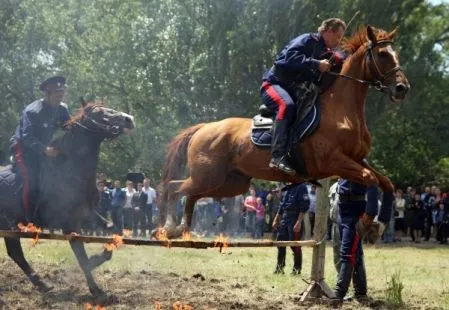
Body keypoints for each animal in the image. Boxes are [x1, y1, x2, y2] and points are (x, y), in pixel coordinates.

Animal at [0, 100, 133, 304]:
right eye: (99, 112)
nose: (128, 119)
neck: (70, 169)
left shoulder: (87, 215)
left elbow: (113, 231)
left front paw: (99, 258)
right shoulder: (69, 225)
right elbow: (82, 258)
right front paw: (97, 290)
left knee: (15, 254)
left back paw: (43, 285)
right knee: (16, 253)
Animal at [158, 26, 410, 237]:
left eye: (395, 53)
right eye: (382, 54)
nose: (402, 88)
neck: (342, 110)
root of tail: (204, 128)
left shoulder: (356, 159)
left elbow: (385, 183)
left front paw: (380, 224)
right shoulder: (334, 161)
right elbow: (371, 179)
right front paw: (367, 222)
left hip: (228, 183)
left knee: (190, 195)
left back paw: (181, 229)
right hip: (208, 176)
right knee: (174, 188)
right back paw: (169, 227)